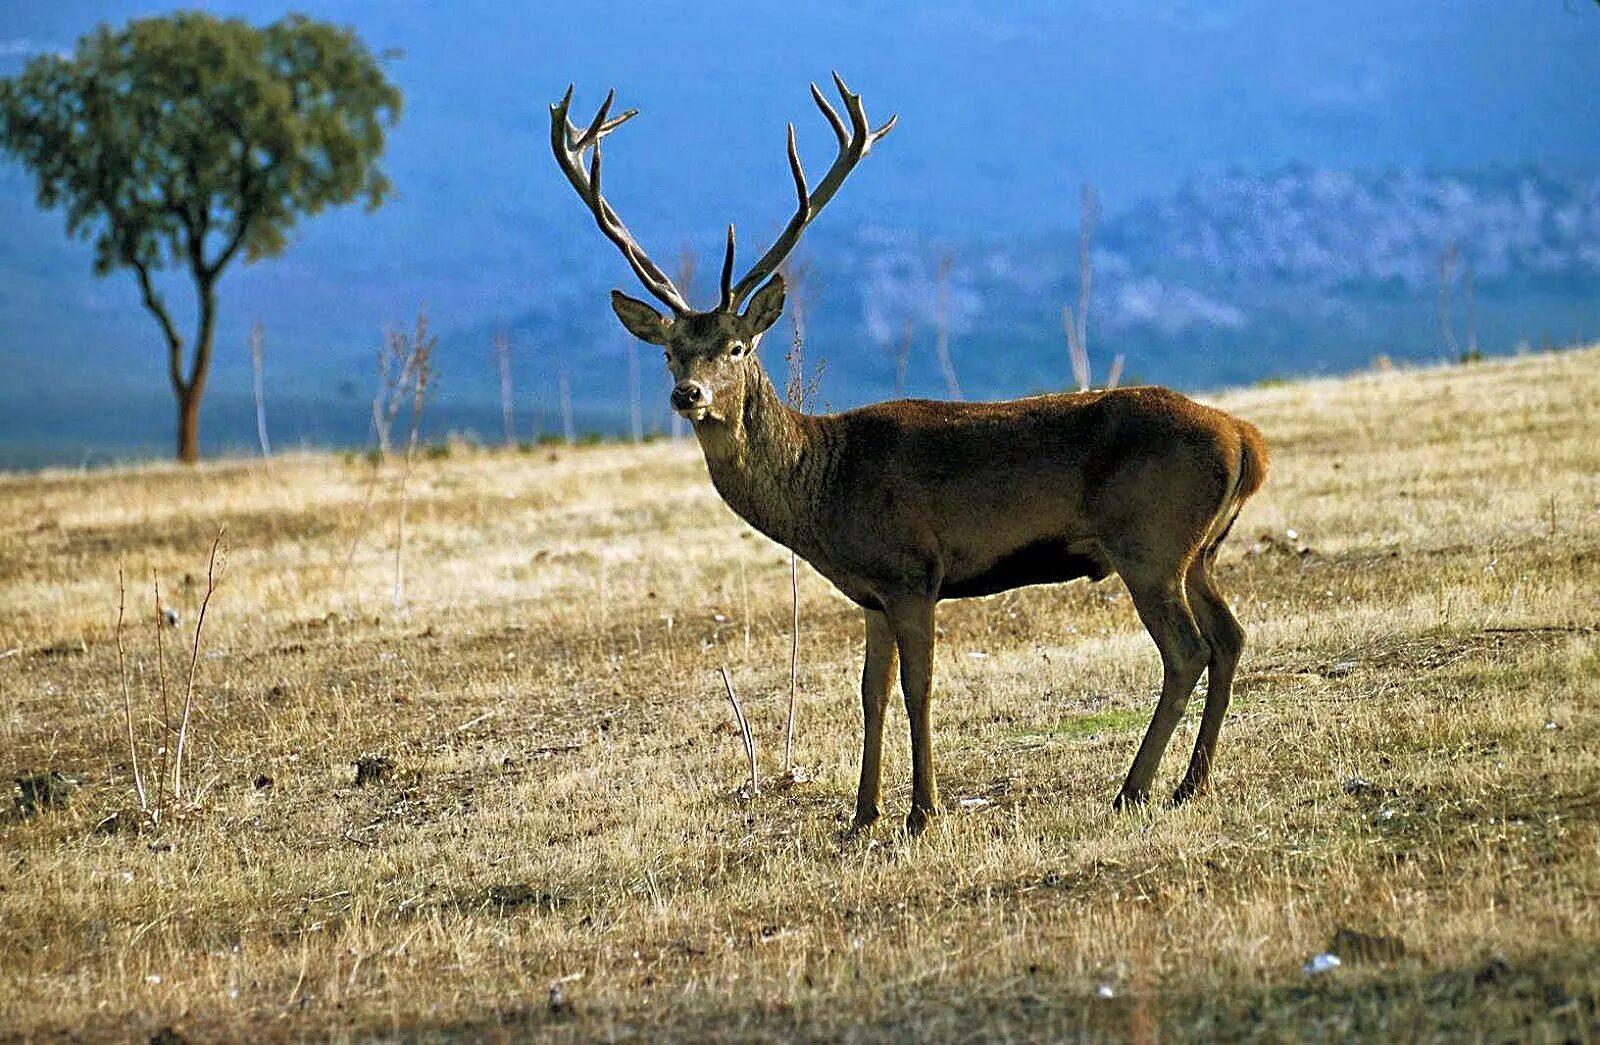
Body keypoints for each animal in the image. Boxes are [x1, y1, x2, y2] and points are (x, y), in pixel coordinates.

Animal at [556, 73, 1267, 838]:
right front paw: (862, 812)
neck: (826, 487)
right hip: (1200, 549)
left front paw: (922, 810)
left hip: (1149, 541)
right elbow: (871, 691)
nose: (687, 394)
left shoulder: (913, 570)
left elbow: (918, 687)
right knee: (1230, 637)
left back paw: (1135, 788)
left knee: (1188, 650)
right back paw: (1190, 782)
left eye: (736, 346)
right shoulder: (872, 590)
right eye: (669, 351)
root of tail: (1245, 440)